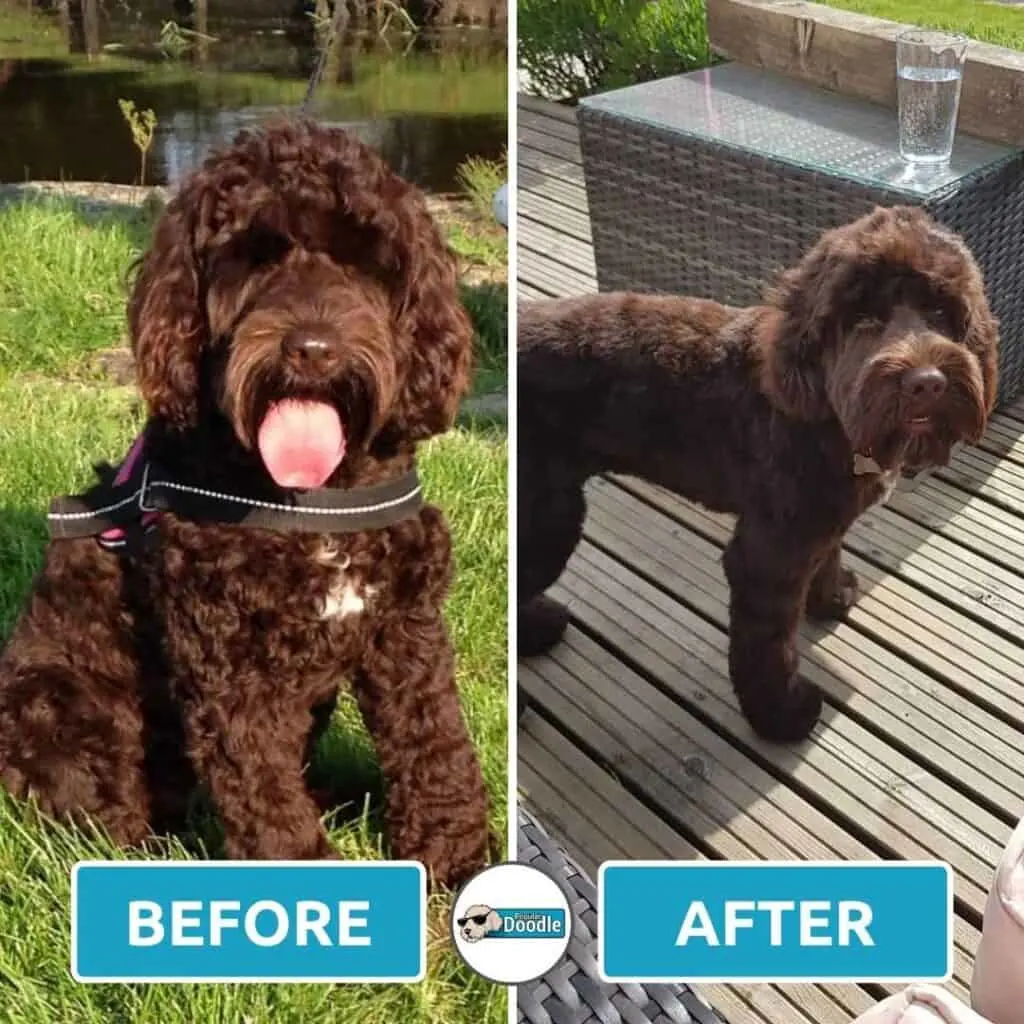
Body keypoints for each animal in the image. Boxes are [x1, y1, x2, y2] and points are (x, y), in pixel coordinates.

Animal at [0, 117, 491, 888]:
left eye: (364, 260)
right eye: (252, 258)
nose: (312, 349)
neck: (314, 501)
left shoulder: (406, 629)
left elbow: (435, 743)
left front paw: (459, 855)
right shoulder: (231, 664)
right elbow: (265, 791)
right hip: (55, 702)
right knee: (99, 814)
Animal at [516, 203, 995, 741]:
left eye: (941, 312)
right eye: (861, 319)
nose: (926, 383)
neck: (825, 413)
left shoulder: (821, 523)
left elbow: (829, 554)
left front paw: (832, 595)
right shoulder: (767, 555)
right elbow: (769, 647)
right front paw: (782, 714)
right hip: (546, 517)